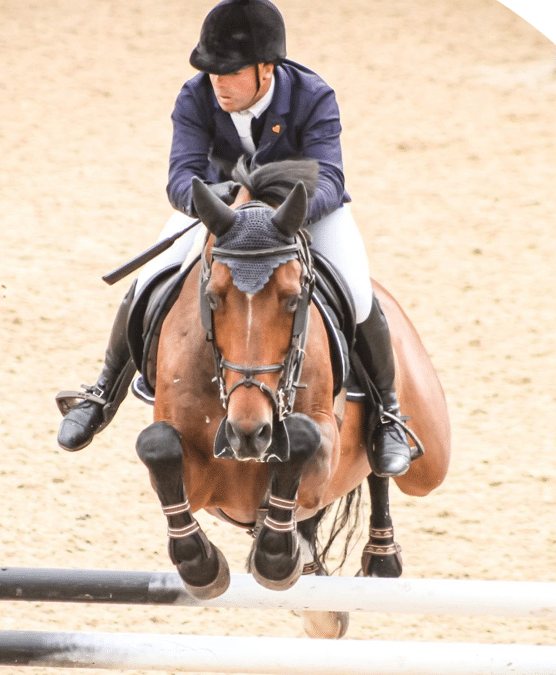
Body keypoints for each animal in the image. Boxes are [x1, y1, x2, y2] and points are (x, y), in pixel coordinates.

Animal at [135, 158, 452, 640]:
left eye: (291, 299)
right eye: (213, 298)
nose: (249, 434)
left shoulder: (320, 459)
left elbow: (303, 439)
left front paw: (275, 558)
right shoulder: (207, 483)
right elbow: (157, 447)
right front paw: (202, 567)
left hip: (430, 458)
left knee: (384, 468)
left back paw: (380, 543)